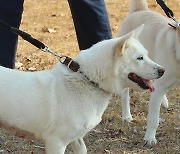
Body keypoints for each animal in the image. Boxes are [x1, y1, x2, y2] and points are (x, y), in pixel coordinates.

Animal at [0, 24, 165, 153]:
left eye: (146, 55)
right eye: (139, 58)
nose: (163, 70)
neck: (89, 80)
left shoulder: (77, 139)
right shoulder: (56, 143)